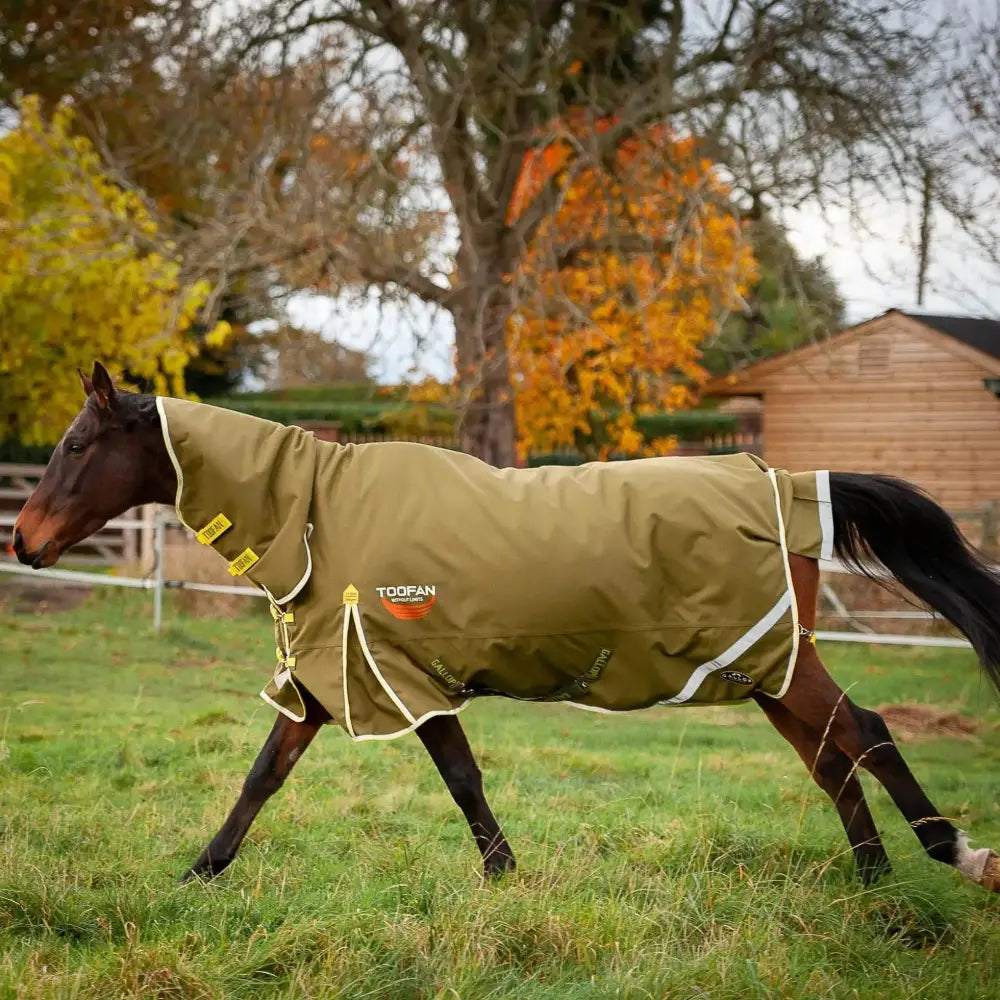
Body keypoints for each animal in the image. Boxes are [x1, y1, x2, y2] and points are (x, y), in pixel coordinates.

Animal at [11, 362, 1000, 892]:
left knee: (865, 733)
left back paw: (956, 854)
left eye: (74, 445)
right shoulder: (342, 682)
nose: (24, 542)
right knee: (830, 756)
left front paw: (502, 876)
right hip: (765, 662)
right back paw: (872, 883)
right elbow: (266, 777)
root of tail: (787, 484)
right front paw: (200, 873)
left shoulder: (396, 677)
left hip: (773, 661)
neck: (316, 514)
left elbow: (458, 780)